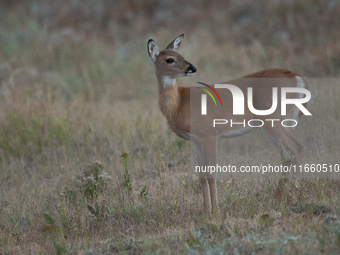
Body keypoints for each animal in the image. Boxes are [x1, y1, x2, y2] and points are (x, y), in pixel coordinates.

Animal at [147, 34, 310, 216]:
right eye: (170, 59)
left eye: (181, 55)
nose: (192, 68)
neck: (179, 104)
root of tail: (300, 79)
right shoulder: (197, 140)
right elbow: (201, 175)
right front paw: (205, 210)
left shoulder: (209, 134)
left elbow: (211, 173)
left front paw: (216, 212)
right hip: (278, 123)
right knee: (287, 157)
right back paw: (278, 200)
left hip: (272, 120)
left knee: (297, 148)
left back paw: (292, 199)